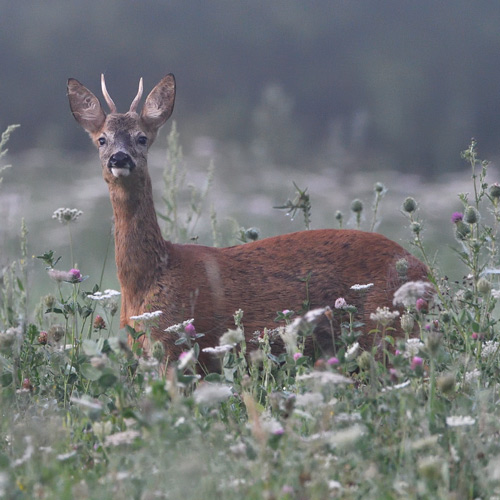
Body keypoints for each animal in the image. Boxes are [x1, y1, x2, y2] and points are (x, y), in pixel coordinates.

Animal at [67, 74, 430, 372]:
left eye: (142, 138)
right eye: (102, 139)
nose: (120, 158)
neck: (148, 279)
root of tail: (424, 273)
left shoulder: (180, 345)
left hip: (385, 327)